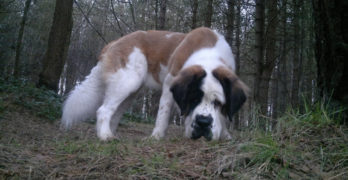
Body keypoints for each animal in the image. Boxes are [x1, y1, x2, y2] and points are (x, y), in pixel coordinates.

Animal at [61, 27, 247, 141]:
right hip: (126, 82)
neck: (208, 55)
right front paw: (156, 137)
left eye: (218, 103)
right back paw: (105, 136)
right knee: (103, 110)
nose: (203, 122)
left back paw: (111, 134)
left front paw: (225, 135)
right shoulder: (170, 82)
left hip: (131, 92)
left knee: (115, 113)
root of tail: (115, 42)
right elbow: (163, 114)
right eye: (193, 100)